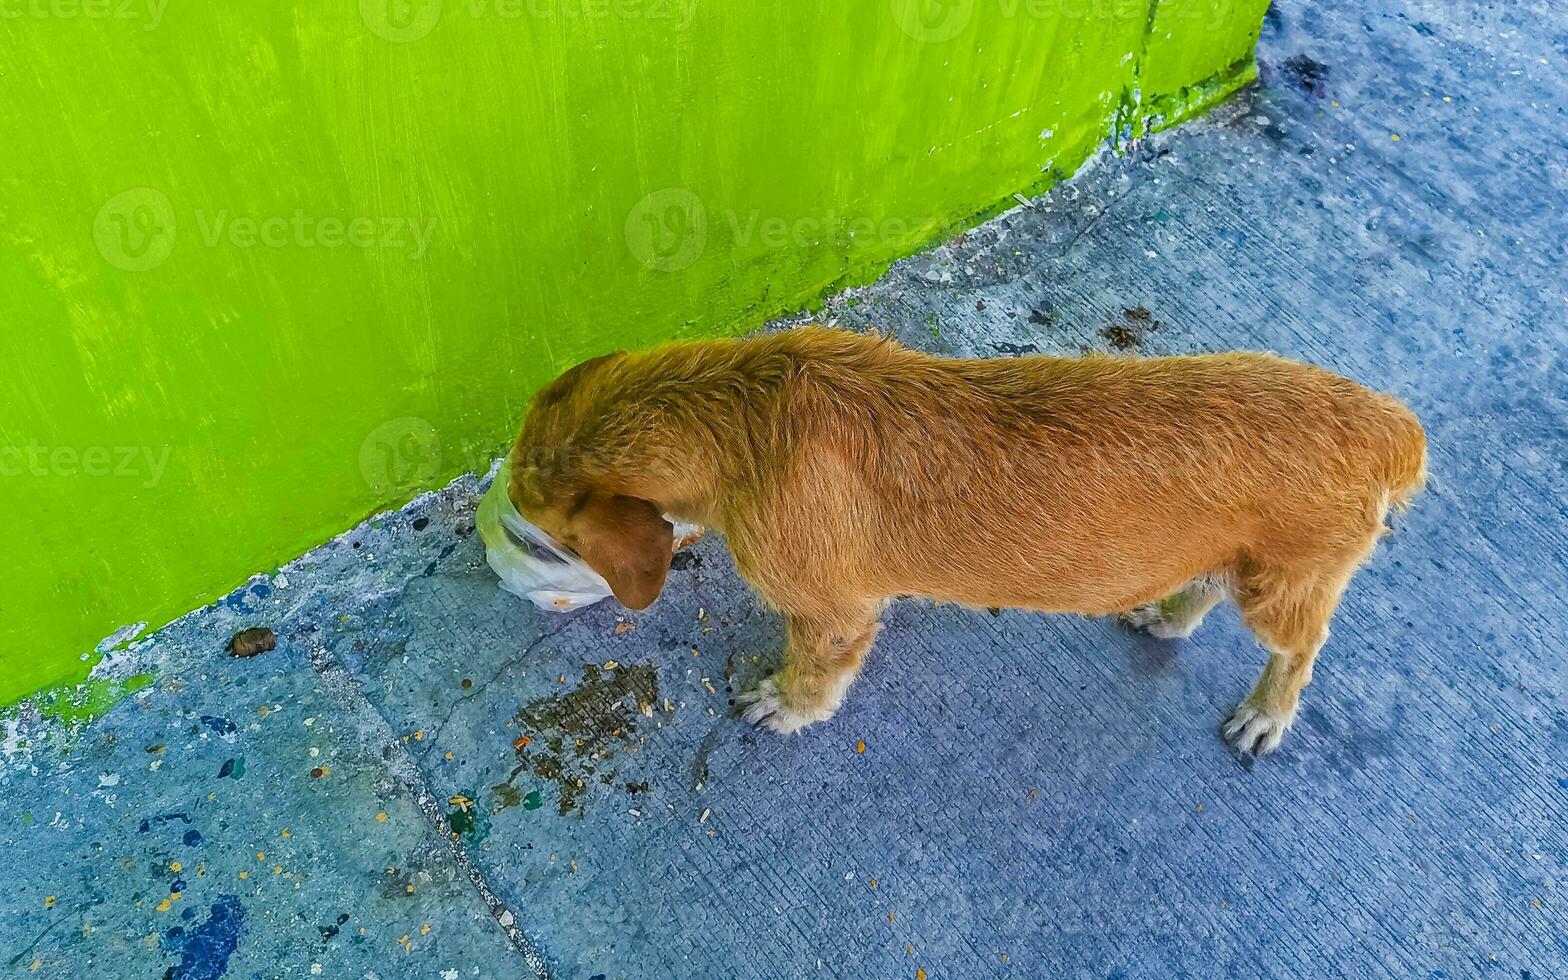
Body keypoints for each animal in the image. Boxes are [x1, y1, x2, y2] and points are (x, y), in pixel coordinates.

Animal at [508, 324, 1430, 752]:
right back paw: (1167, 616)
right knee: (1205, 584)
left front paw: (785, 703)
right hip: (1233, 558)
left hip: (1286, 589)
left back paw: (1267, 716)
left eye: (549, 531)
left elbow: (814, 669)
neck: (744, 411)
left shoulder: (835, 613)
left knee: (1299, 651)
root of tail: (1386, 423)